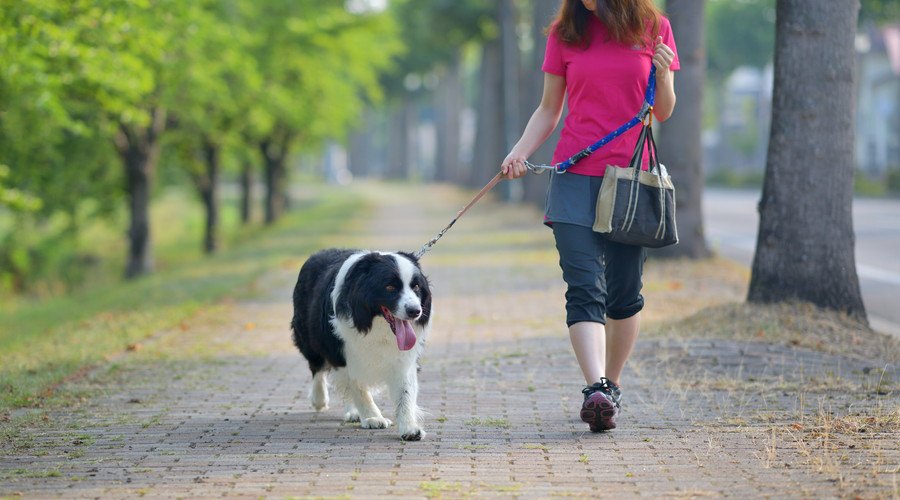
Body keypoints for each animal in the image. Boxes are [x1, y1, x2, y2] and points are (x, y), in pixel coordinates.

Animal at [292, 248, 432, 440]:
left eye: (416, 286)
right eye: (390, 287)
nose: (415, 311)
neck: (376, 325)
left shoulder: (403, 357)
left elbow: (405, 391)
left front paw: (409, 428)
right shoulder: (342, 353)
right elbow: (358, 387)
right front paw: (373, 417)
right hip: (308, 335)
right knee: (317, 366)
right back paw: (320, 399)